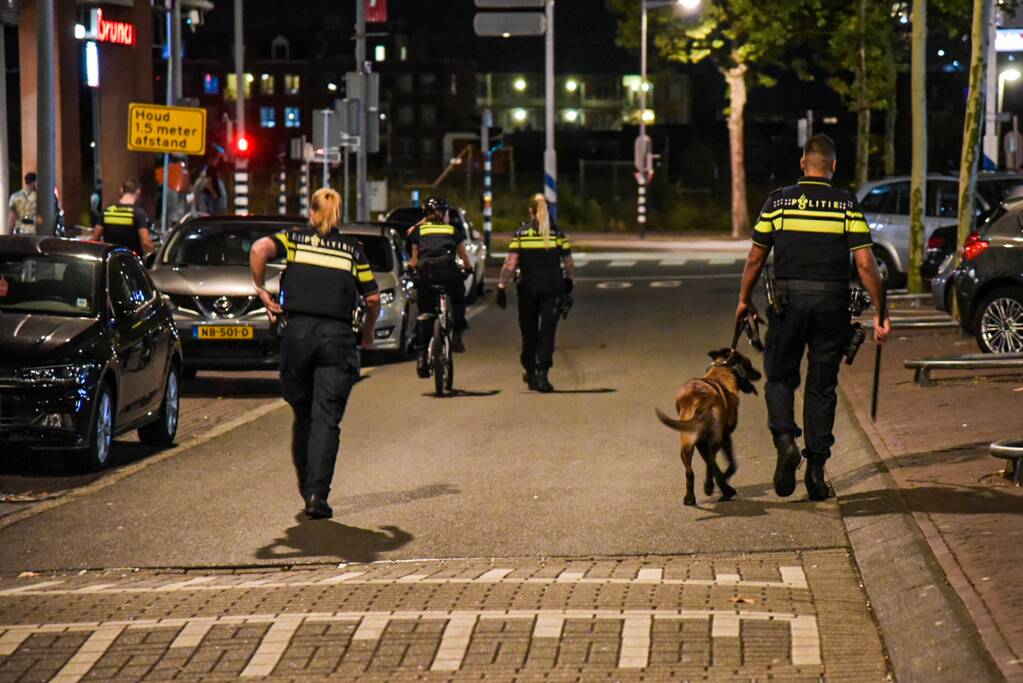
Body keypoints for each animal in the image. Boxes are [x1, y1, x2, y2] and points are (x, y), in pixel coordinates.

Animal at [654, 349, 761, 505]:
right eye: (749, 364)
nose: (760, 374)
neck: (722, 372)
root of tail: (700, 399)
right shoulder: (725, 437)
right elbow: (731, 464)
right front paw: (723, 480)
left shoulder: (700, 442)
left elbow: (713, 465)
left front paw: (719, 484)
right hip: (714, 440)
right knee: (711, 461)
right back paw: (719, 489)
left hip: (687, 443)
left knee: (691, 471)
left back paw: (692, 497)